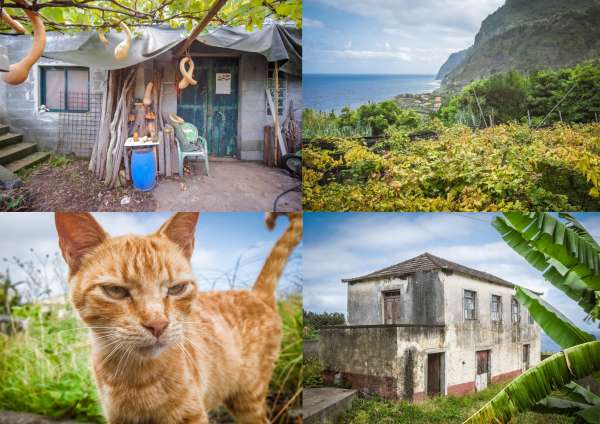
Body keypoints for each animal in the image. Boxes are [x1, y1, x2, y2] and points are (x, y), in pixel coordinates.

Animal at [54, 212, 302, 424]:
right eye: (115, 291)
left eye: (176, 288)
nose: (157, 325)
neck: (135, 378)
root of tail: (256, 294)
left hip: (249, 398)